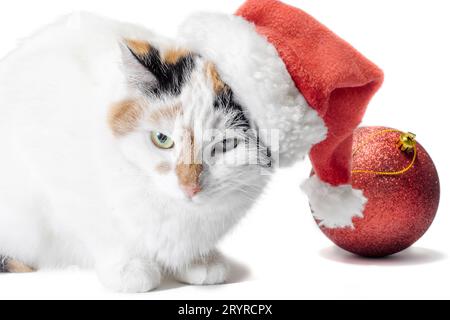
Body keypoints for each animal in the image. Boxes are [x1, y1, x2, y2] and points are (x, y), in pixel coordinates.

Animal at [0, 13, 274, 292]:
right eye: (162, 139)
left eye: (227, 144)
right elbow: (97, 223)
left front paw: (200, 259)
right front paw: (129, 266)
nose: (189, 187)